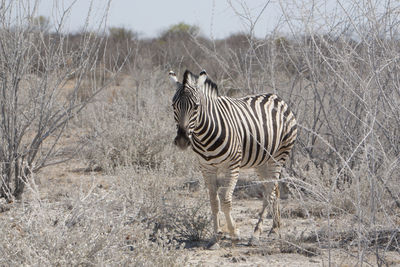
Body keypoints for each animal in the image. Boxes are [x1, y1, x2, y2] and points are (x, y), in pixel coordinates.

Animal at [167, 69, 296, 249]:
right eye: (173, 106)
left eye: (196, 106)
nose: (182, 140)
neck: (205, 134)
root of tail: (277, 97)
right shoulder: (206, 168)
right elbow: (214, 201)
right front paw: (216, 237)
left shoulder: (232, 167)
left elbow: (226, 200)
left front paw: (234, 233)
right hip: (261, 162)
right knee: (274, 190)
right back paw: (275, 228)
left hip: (278, 156)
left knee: (269, 192)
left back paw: (256, 234)